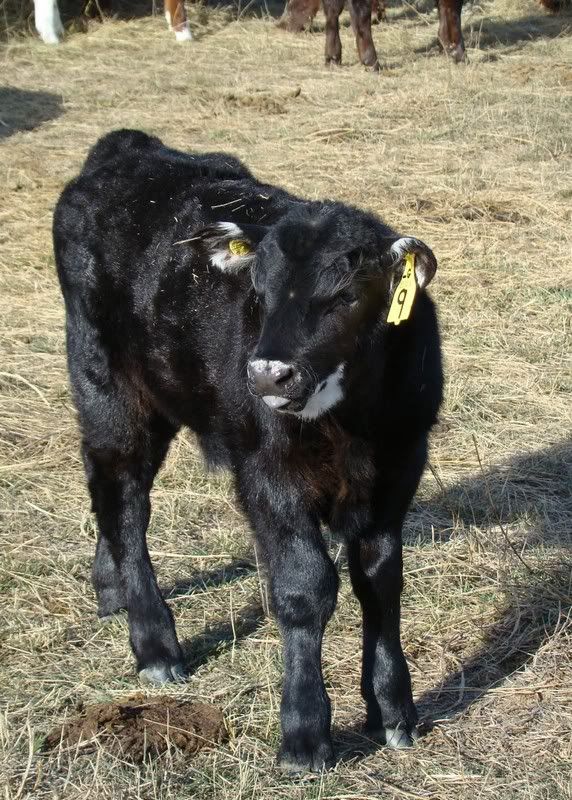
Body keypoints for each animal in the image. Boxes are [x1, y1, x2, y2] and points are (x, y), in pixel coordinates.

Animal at [53, 129, 443, 771]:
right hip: (104, 380)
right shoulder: (267, 475)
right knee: (123, 494)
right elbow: (305, 587)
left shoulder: (399, 467)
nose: (266, 373)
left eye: (346, 294)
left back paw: (110, 590)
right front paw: (305, 735)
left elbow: (380, 580)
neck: (351, 424)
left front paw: (393, 711)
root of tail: (128, 149)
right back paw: (155, 644)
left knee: (109, 484)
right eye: (258, 291)